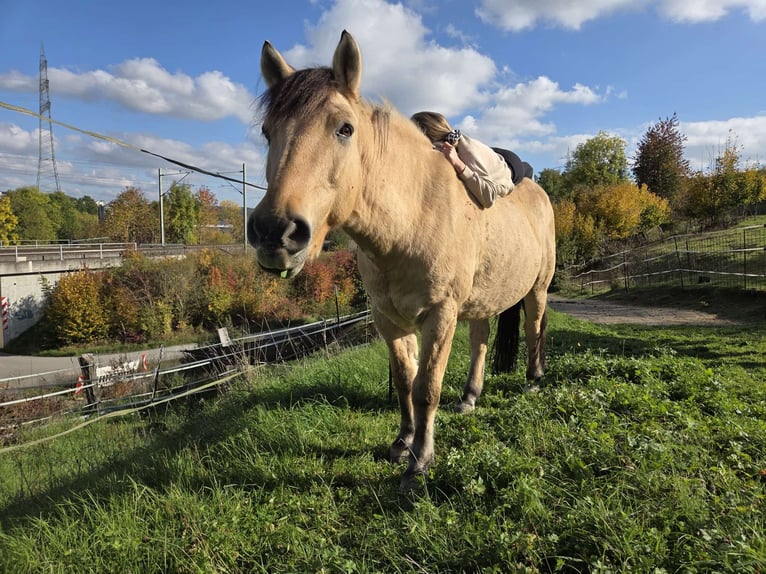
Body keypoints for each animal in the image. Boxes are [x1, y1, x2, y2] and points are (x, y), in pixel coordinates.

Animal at [248, 30, 556, 489]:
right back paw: (469, 397)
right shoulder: (388, 318)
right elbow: (405, 379)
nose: (274, 232)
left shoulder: (440, 315)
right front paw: (402, 443)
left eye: (345, 128)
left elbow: (427, 387)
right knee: (481, 340)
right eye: (268, 133)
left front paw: (420, 462)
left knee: (535, 327)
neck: (412, 220)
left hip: (537, 289)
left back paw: (533, 381)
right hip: (480, 301)